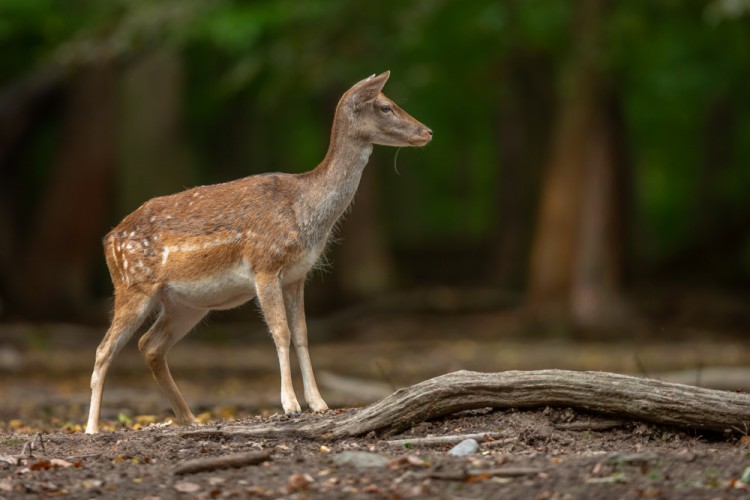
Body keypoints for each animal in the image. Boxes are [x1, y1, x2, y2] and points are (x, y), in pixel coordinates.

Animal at [85, 71, 432, 434]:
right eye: (385, 106)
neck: (305, 210)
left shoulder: (296, 276)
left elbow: (302, 334)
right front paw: (290, 406)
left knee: (149, 345)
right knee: (103, 349)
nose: (427, 131)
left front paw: (319, 403)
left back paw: (189, 418)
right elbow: (280, 332)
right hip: (133, 286)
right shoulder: (264, 266)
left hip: (186, 305)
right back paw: (92, 427)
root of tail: (109, 238)